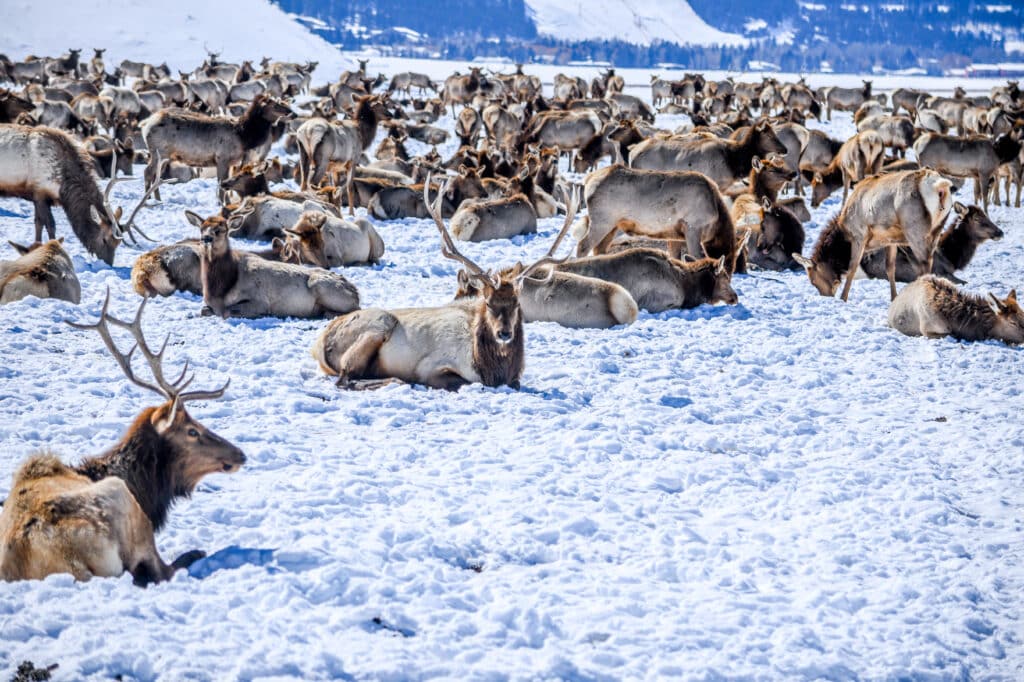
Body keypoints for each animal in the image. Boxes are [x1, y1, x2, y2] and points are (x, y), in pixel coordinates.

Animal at [0, 124, 156, 264]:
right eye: (104, 239)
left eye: (117, 243)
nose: (108, 263)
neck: (63, 185)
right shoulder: (40, 192)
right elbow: (49, 225)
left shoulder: (38, 196)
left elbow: (38, 223)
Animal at [0, 294, 245, 585]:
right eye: (192, 431)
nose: (241, 454)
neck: (145, 490)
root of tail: (67, 557)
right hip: (124, 509)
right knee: (164, 570)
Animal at [141, 95, 293, 200]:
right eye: (275, 105)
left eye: (280, 102)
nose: (291, 112)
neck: (244, 136)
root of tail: (146, 125)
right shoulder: (222, 158)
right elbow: (221, 184)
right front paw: (221, 203)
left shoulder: (232, 162)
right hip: (158, 152)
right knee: (148, 172)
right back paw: (149, 199)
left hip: (166, 157)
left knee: (156, 176)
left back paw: (157, 199)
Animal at [188, 211, 360, 319]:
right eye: (202, 228)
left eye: (221, 229)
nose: (206, 238)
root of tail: (356, 293)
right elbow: (204, 310)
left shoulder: (259, 300)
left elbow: (227, 312)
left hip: (321, 286)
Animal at [311, 178, 561, 391]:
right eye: (488, 303)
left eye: (517, 304)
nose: (504, 333)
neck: (489, 366)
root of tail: (319, 345)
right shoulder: (432, 368)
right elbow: (466, 382)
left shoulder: (514, 378)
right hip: (378, 325)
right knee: (345, 379)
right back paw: (396, 380)